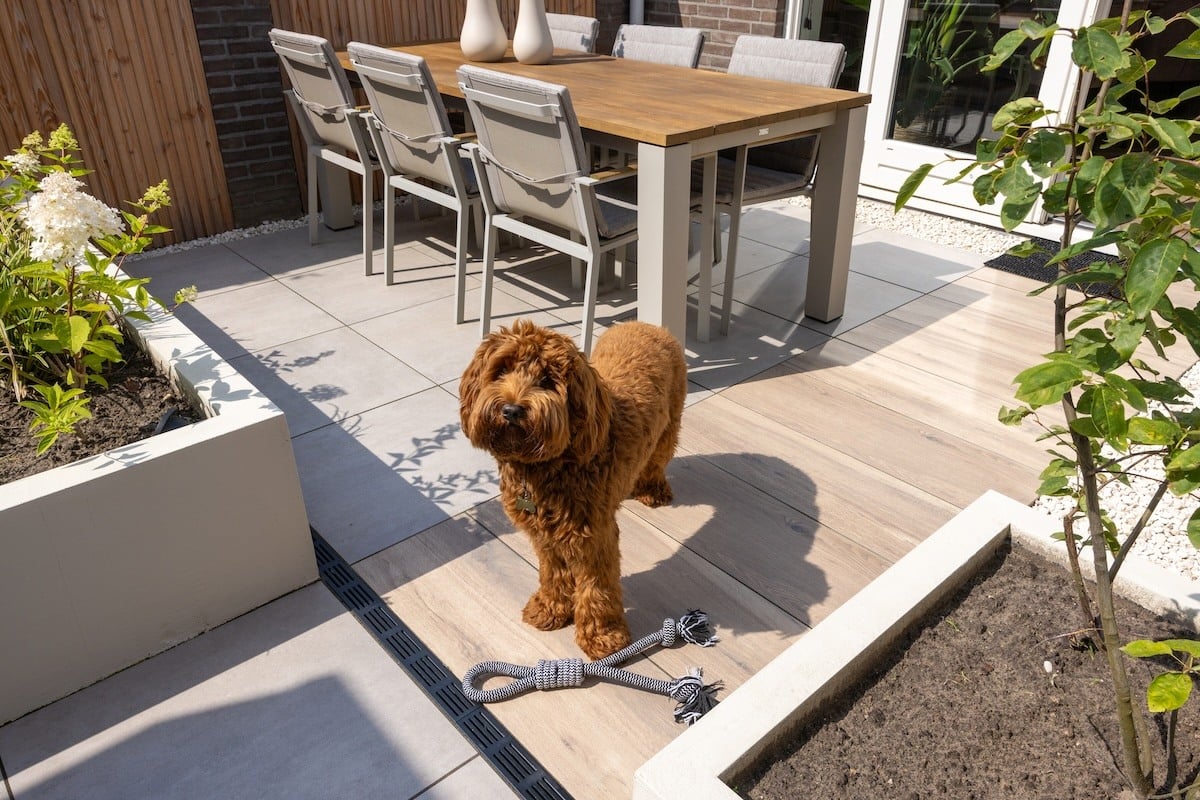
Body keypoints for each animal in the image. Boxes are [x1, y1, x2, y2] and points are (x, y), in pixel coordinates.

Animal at [458, 316, 686, 657]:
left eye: (547, 380)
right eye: (500, 371)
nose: (511, 410)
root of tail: (644, 323)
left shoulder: (596, 537)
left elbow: (597, 588)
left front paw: (603, 636)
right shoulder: (545, 537)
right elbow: (552, 574)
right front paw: (549, 609)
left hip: (670, 423)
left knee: (659, 456)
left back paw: (652, 489)